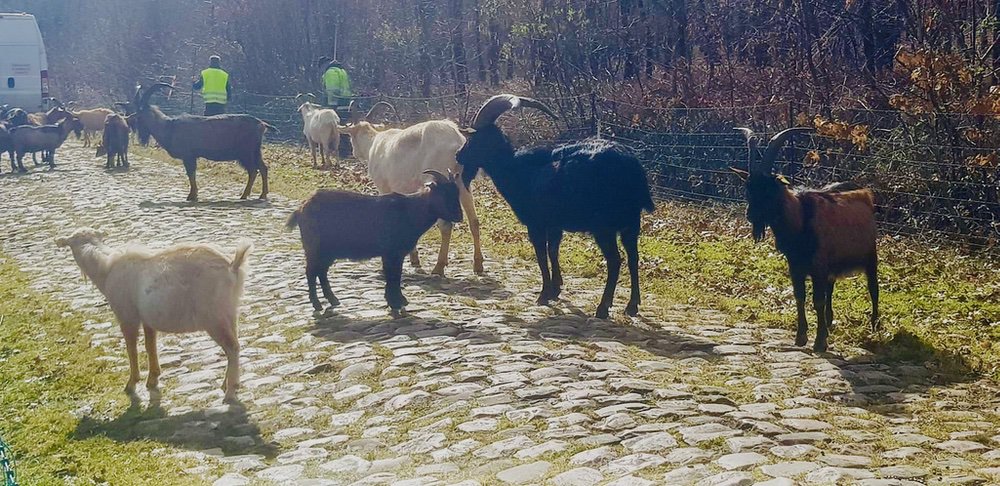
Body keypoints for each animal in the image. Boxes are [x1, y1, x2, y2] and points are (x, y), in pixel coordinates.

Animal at [54, 228, 252, 402]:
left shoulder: (127, 315)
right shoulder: (147, 319)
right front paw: (153, 379)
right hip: (229, 311)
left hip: (213, 316)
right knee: (233, 346)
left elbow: (131, 348)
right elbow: (150, 346)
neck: (106, 269)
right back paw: (227, 384)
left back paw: (230, 393)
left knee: (232, 348)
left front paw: (132, 383)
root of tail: (232, 266)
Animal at [288, 171, 462, 316]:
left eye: (456, 193)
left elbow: (394, 275)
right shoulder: (392, 252)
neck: (410, 211)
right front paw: (396, 302)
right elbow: (393, 275)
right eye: (444, 193)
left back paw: (333, 300)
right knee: (311, 272)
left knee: (321, 272)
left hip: (326, 252)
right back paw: (317, 304)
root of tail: (301, 209)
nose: (459, 216)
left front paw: (395, 301)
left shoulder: (392, 254)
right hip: (314, 248)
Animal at [344, 104, 484, 276]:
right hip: (463, 183)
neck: (374, 143)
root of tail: (456, 141)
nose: (353, 152)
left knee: (446, 225)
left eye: (351, 136)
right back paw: (478, 265)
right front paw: (414, 258)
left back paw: (439, 267)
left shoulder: (384, 188)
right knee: (474, 221)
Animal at [732, 127, 880, 352]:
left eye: (768, 188)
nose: (751, 215)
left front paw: (819, 342)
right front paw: (801, 336)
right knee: (831, 287)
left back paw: (875, 325)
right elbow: (799, 296)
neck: (800, 218)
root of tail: (865, 193)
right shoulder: (795, 265)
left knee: (873, 288)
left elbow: (817, 300)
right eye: (748, 188)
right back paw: (829, 321)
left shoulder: (818, 264)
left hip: (870, 254)